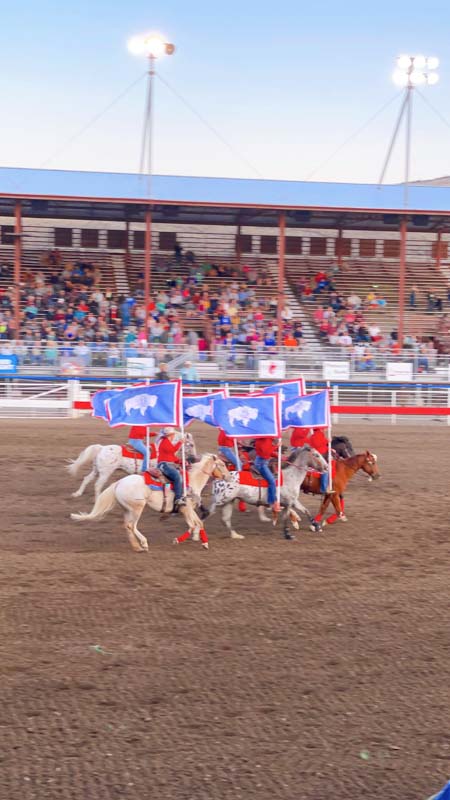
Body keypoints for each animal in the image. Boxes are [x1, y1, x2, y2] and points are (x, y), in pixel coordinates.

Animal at [67, 434, 196, 496]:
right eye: (191, 444)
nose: (194, 459)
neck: (162, 450)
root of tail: (102, 448)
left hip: (96, 470)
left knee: (86, 479)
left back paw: (77, 493)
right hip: (105, 473)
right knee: (98, 485)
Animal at [71, 454, 230, 552]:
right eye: (222, 464)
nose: (228, 476)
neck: (191, 481)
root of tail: (119, 483)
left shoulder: (189, 510)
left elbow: (199, 523)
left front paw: (205, 543)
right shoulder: (186, 509)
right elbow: (192, 525)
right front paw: (176, 540)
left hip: (127, 509)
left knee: (127, 526)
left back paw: (137, 547)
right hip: (138, 508)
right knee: (132, 526)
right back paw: (144, 543)